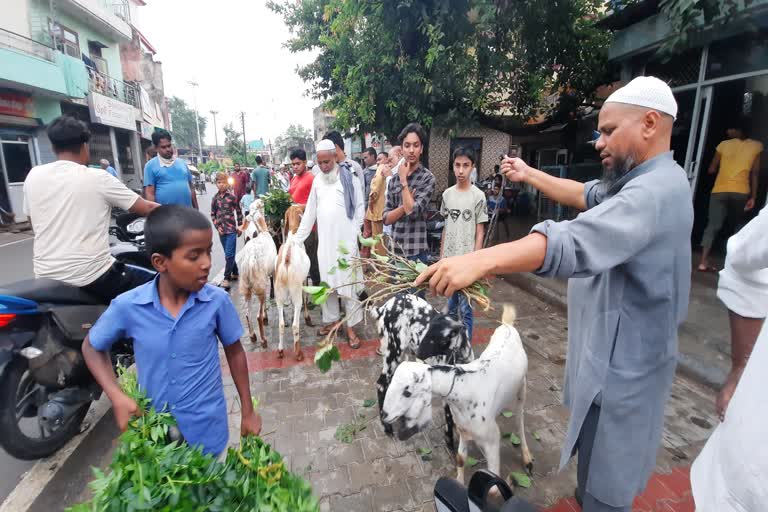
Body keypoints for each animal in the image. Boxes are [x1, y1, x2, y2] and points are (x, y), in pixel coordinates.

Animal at [238, 198, 280, 346]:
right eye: (260, 204)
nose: (262, 200)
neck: (262, 232)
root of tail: (249, 261)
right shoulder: (272, 271)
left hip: (246, 285)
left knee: (247, 313)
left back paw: (252, 335)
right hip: (258, 282)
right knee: (257, 316)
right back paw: (263, 339)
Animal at [368, 294, 474, 450]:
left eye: (436, 338)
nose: (418, 352)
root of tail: (383, 308)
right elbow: (449, 419)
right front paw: (450, 446)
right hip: (393, 352)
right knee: (381, 384)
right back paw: (387, 426)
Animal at [380, 304, 532, 484]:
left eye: (407, 392)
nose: (385, 415)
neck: (465, 384)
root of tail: (507, 325)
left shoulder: (491, 437)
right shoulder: (464, 426)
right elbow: (460, 456)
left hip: (522, 388)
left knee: (519, 419)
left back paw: (527, 459)